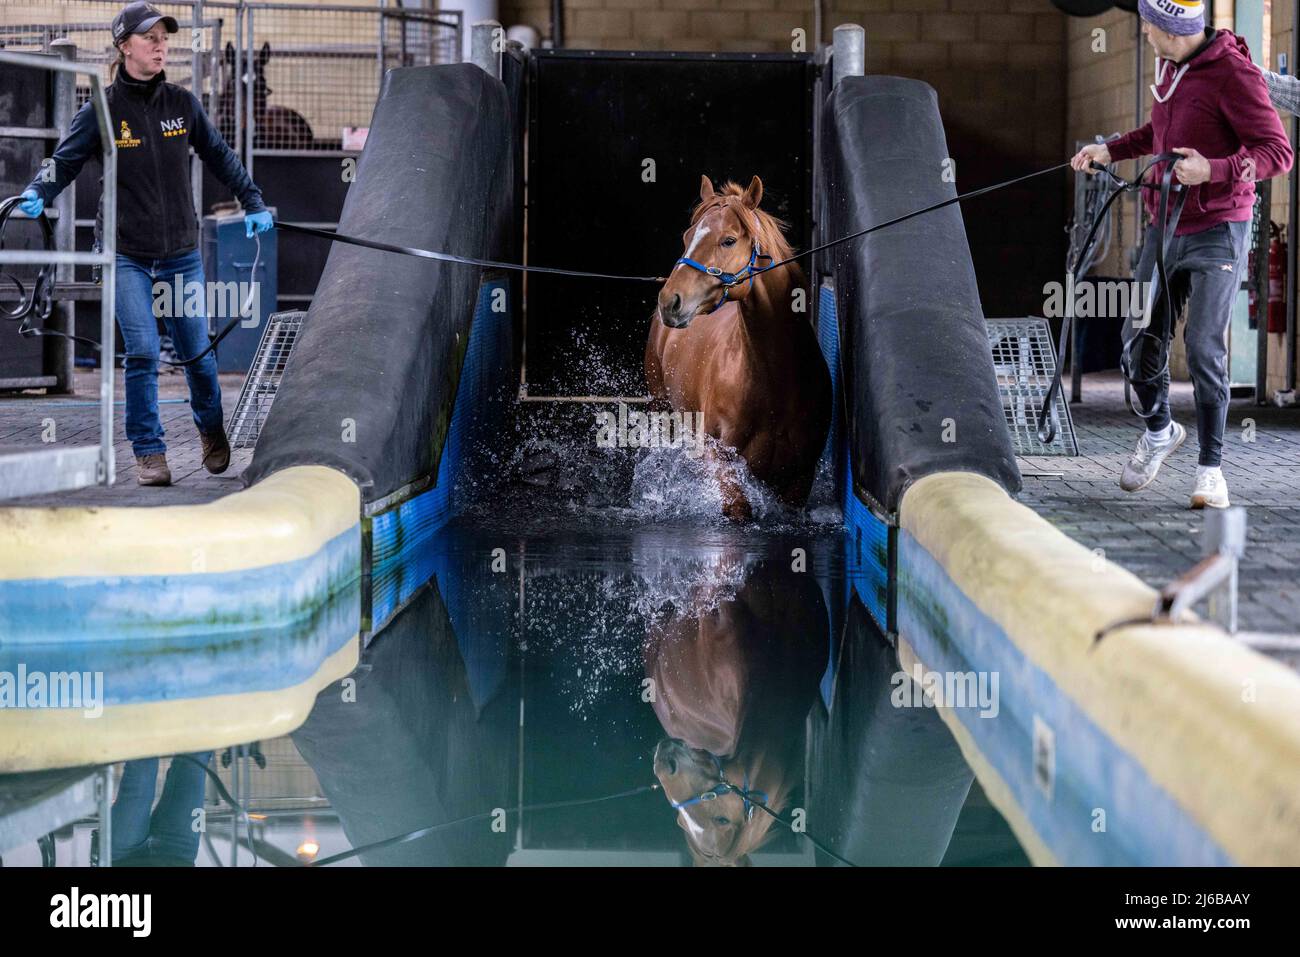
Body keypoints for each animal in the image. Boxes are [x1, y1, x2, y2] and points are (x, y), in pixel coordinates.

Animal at [650, 175, 832, 520]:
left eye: (729, 240)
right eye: (687, 236)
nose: (670, 301)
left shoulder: (800, 480)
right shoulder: (721, 458)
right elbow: (738, 507)